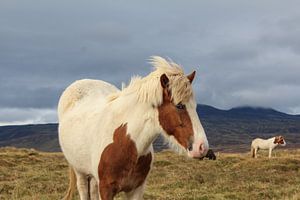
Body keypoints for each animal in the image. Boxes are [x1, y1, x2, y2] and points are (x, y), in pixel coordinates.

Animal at [58, 56, 209, 200]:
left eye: (194, 106)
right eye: (179, 106)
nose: (202, 147)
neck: (126, 142)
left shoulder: (136, 189)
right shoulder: (106, 190)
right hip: (80, 172)